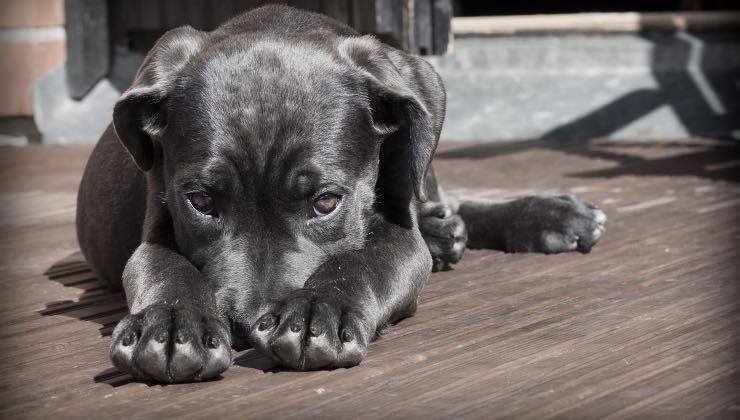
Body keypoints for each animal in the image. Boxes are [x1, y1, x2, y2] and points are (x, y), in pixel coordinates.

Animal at [75, 4, 608, 384]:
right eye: (201, 202)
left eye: (326, 202)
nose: (246, 326)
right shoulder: (157, 221)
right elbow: (163, 265)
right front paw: (170, 324)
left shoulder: (399, 234)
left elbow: (363, 260)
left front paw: (318, 310)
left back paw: (547, 216)